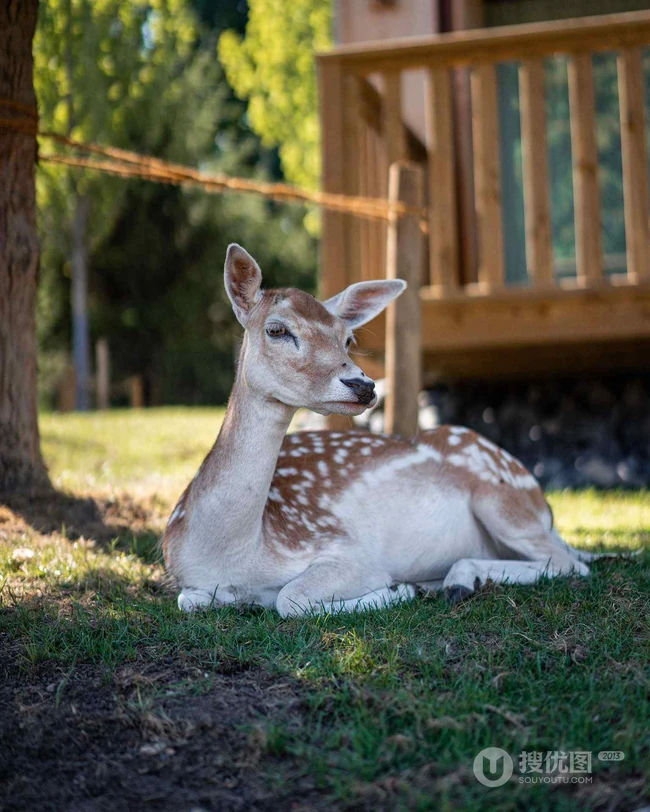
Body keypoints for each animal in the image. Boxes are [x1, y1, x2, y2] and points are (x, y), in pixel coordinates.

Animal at [162, 243, 600, 617]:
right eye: (276, 330)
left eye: (348, 338)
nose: (363, 385)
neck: (234, 555)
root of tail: (544, 505)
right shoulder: (186, 580)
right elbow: (189, 600)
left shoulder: (348, 549)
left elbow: (291, 599)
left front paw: (397, 589)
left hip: (501, 498)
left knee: (570, 564)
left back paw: (454, 581)